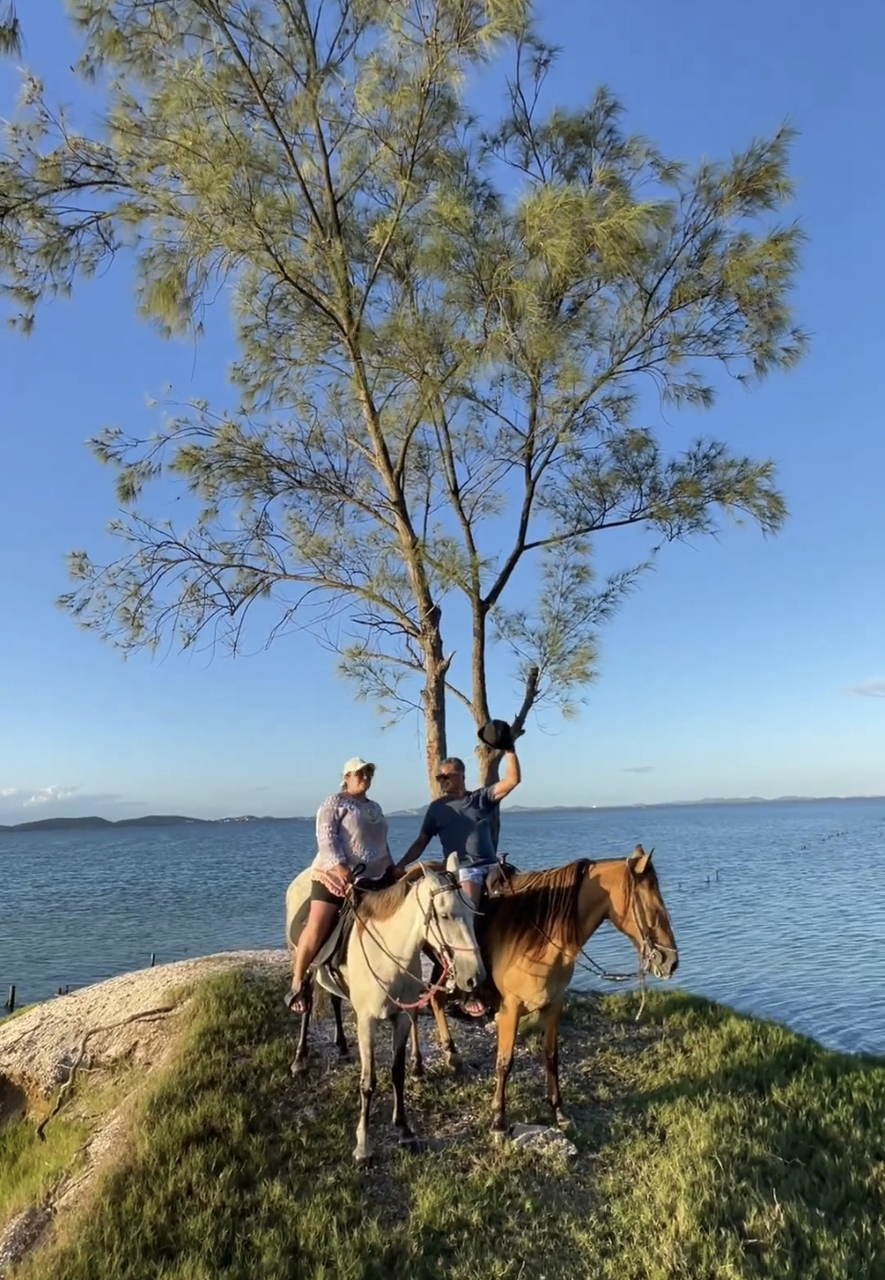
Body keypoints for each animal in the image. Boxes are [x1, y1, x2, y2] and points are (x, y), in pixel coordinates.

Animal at [285, 855, 484, 1167]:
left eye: (471, 913)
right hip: (302, 960)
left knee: (335, 1000)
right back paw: (300, 1059)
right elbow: (368, 1082)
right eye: (444, 915)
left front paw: (404, 1129)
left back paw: (341, 1045)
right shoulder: (367, 1023)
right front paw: (363, 1146)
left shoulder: (401, 1019)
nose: (474, 978)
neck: (388, 955)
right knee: (305, 1003)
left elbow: (397, 1072)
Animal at [412, 844, 681, 1136]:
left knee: (435, 999)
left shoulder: (554, 1004)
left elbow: (551, 1057)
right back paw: (418, 1065)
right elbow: (504, 1062)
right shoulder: (510, 1009)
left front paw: (559, 1111)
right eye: (652, 904)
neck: (541, 935)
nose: (671, 961)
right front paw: (499, 1120)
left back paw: (450, 1053)